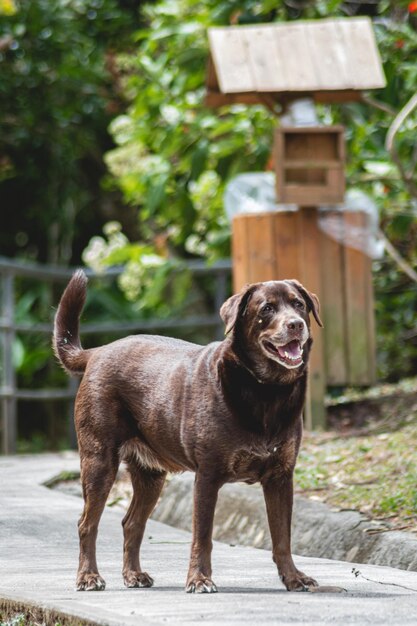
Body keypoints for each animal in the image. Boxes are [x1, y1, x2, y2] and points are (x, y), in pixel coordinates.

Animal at [52, 270, 322, 592]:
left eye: (299, 305)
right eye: (267, 308)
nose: (296, 324)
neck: (266, 392)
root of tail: (98, 352)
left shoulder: (281, 478)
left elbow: (282, 537)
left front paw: (293, 578)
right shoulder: (207, 476)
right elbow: (202, 537)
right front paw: (199, 579)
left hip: (150, 475)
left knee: (132, 523)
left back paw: (133, 574)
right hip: (99, 462)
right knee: (87, 524)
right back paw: (88, 576)